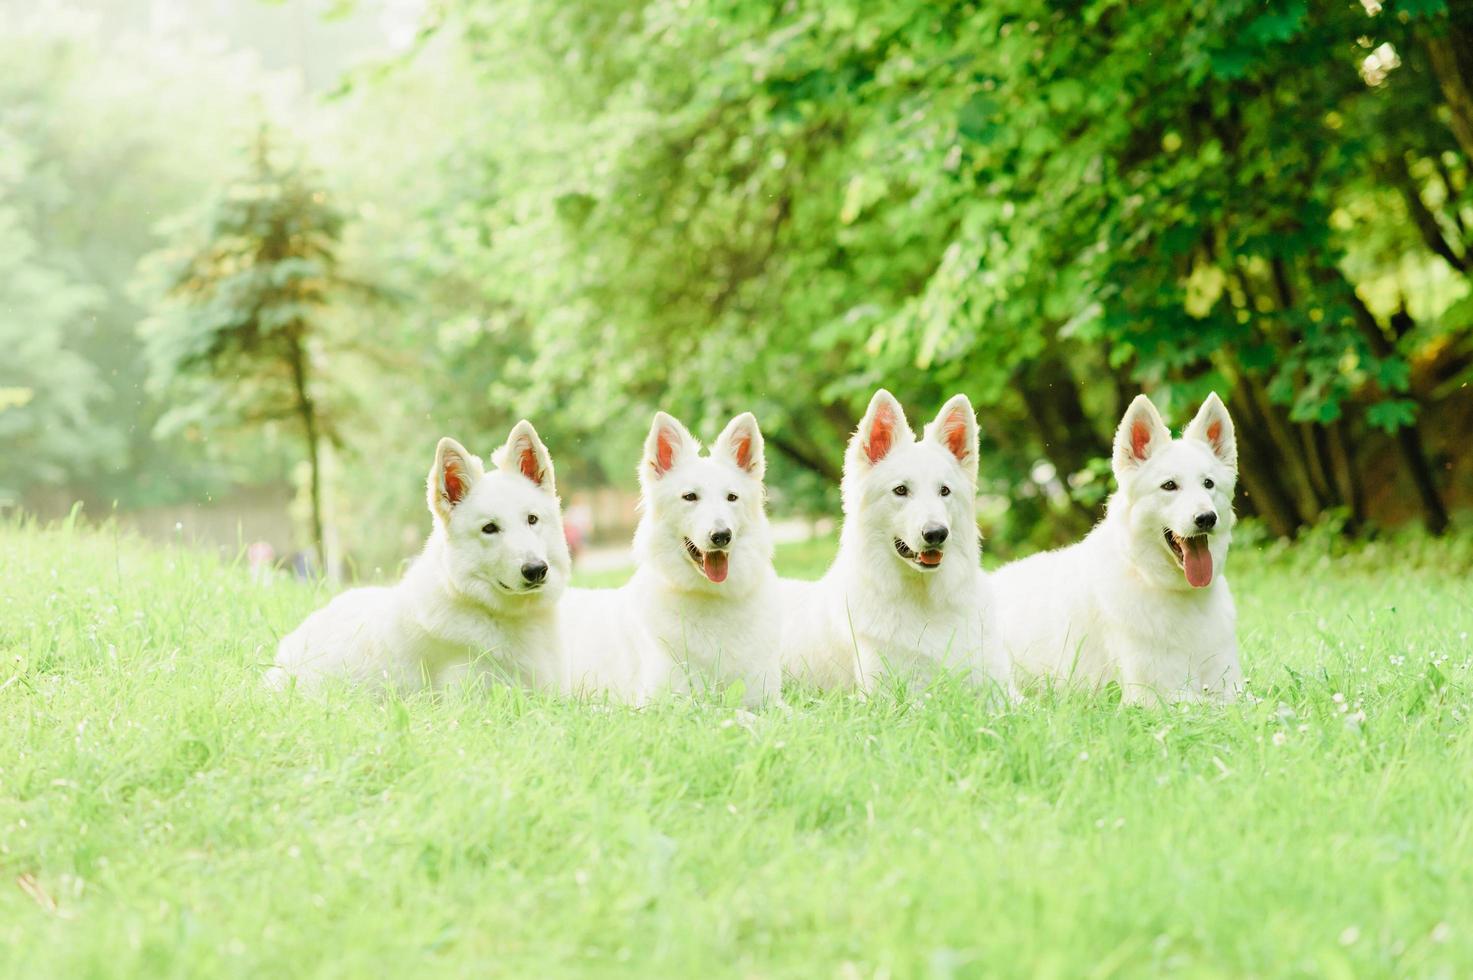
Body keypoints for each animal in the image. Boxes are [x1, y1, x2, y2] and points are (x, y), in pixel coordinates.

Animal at [559, 409, 783, 704]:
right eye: (690, 497)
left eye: (732, 497)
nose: (721, 535)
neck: (712, 597)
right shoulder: (668, 701)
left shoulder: (767, 697)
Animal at [777, 389, 1007, 695]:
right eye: (900, 490)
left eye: (944, 491)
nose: (936, 533)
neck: (925, 600)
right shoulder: (894, 694)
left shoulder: (1001, 687)